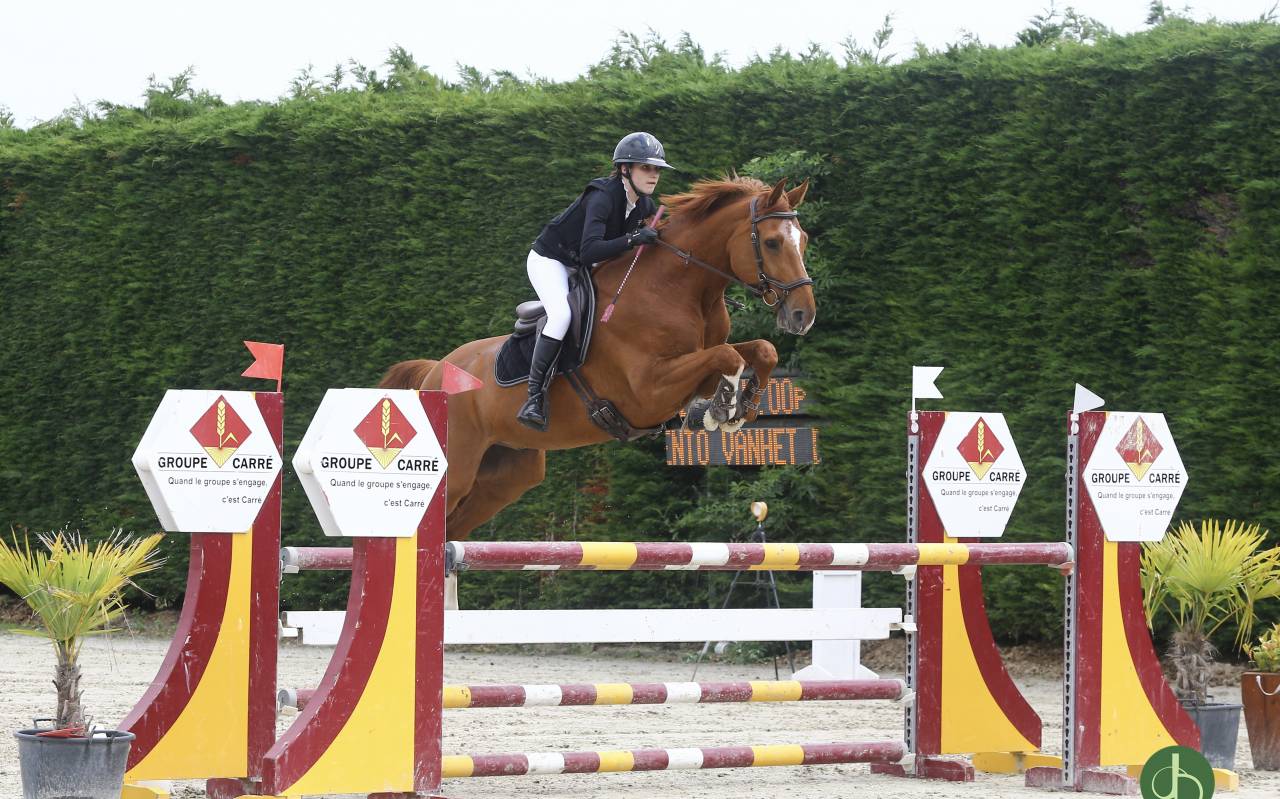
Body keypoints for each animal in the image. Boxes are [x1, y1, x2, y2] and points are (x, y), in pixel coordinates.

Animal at [380, 175, 816, 541]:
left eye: (804, 240)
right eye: (772, 242)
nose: (803, 315)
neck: (678, 288)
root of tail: (435, 371)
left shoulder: (691, 364)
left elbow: (759, 350)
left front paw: (740, 407)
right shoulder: (647, 391)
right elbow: (726, 356)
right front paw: (719, 408)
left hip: (507, 475)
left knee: (452, 528)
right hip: (458, 467)